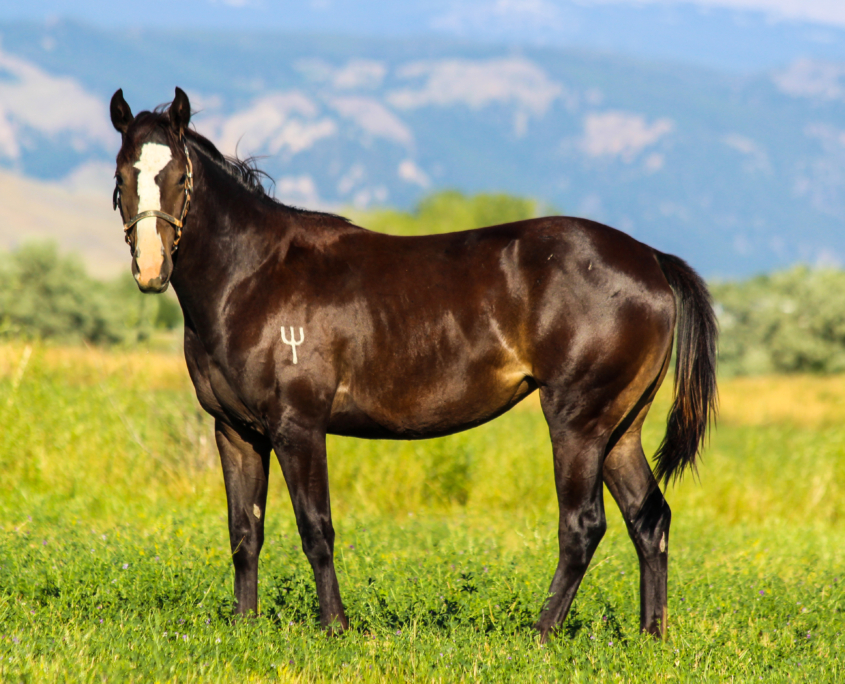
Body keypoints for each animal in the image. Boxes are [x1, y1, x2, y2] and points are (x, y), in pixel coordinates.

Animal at [109, 87, 717, 641]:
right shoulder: (236, 431)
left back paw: (542, 633)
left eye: (179, 177)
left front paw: (336, 627)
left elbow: (315, 529)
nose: (151, 270)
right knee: (649, 519)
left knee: (583, 526)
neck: (254, 276)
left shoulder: (298, 426)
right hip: (620, 429)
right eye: (122, 177)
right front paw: (243, 624)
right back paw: (651, 635)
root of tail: (651, 259)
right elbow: (244, 533)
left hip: (578, 423)